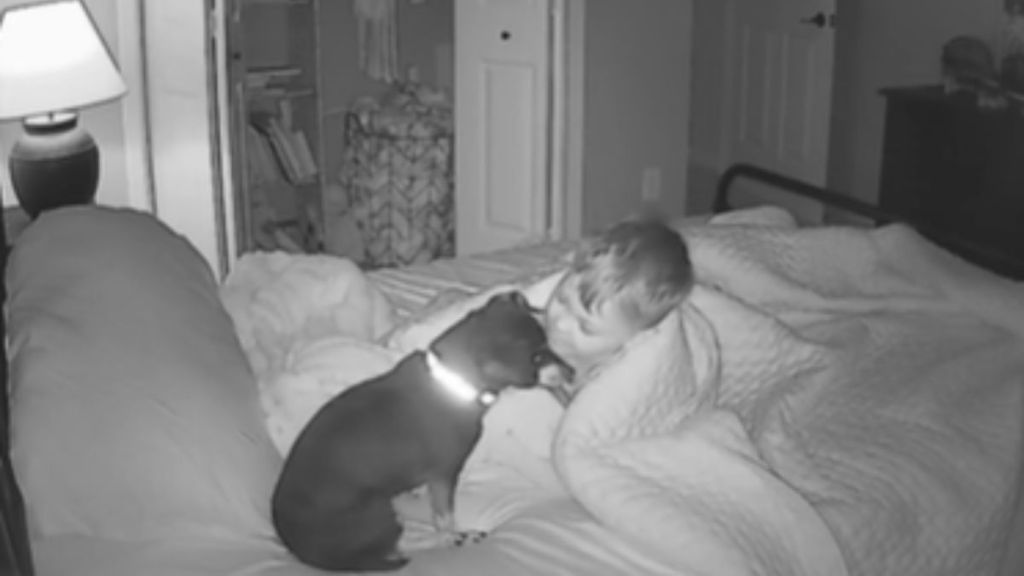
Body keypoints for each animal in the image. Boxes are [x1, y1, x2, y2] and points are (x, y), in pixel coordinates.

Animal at [272, 291, 577, 569]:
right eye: (537, 357)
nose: (572, 372)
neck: (451, 378)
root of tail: (301, 550)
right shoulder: (445, 475)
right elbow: (444, 518)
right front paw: (452, 533)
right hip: (378, 513)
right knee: (398, 545)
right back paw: (453, 539)